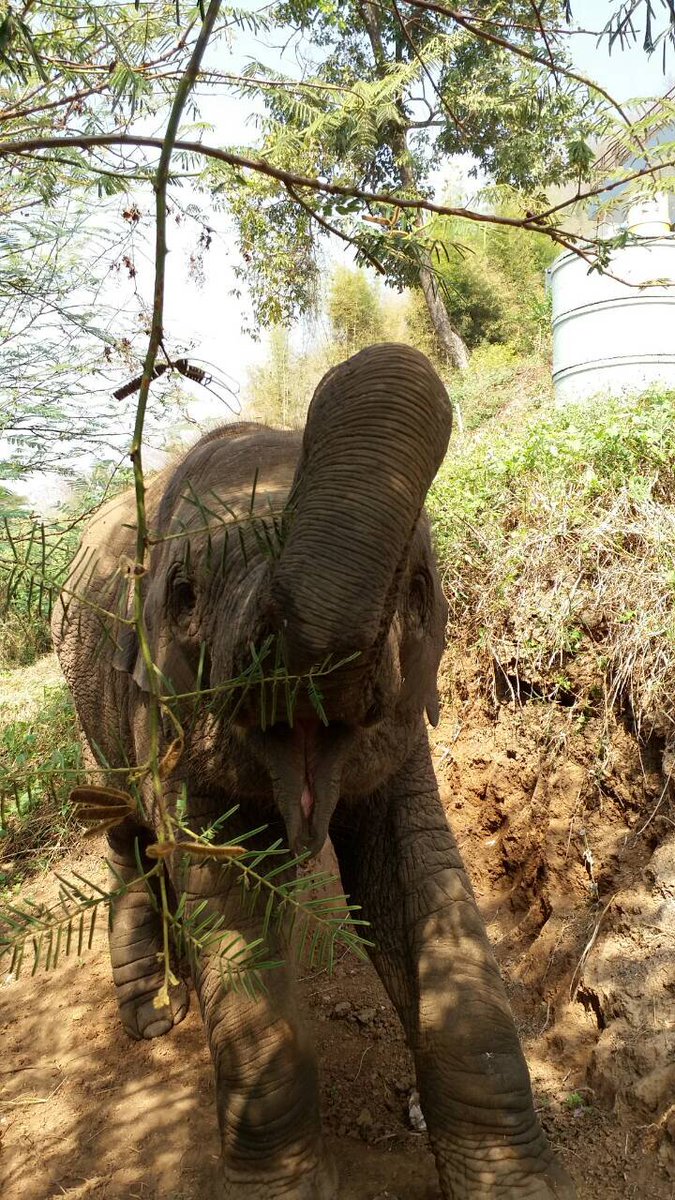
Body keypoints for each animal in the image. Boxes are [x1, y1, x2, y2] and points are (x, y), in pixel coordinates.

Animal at [52, 344, 574, 1199]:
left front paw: (515, 1186)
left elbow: (413, 879)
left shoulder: (402, 729)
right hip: (91, 709)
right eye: (183, 595)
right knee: (127, 838)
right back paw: (154, 1019)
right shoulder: (162, 717)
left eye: (417, 588)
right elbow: (230, 905)